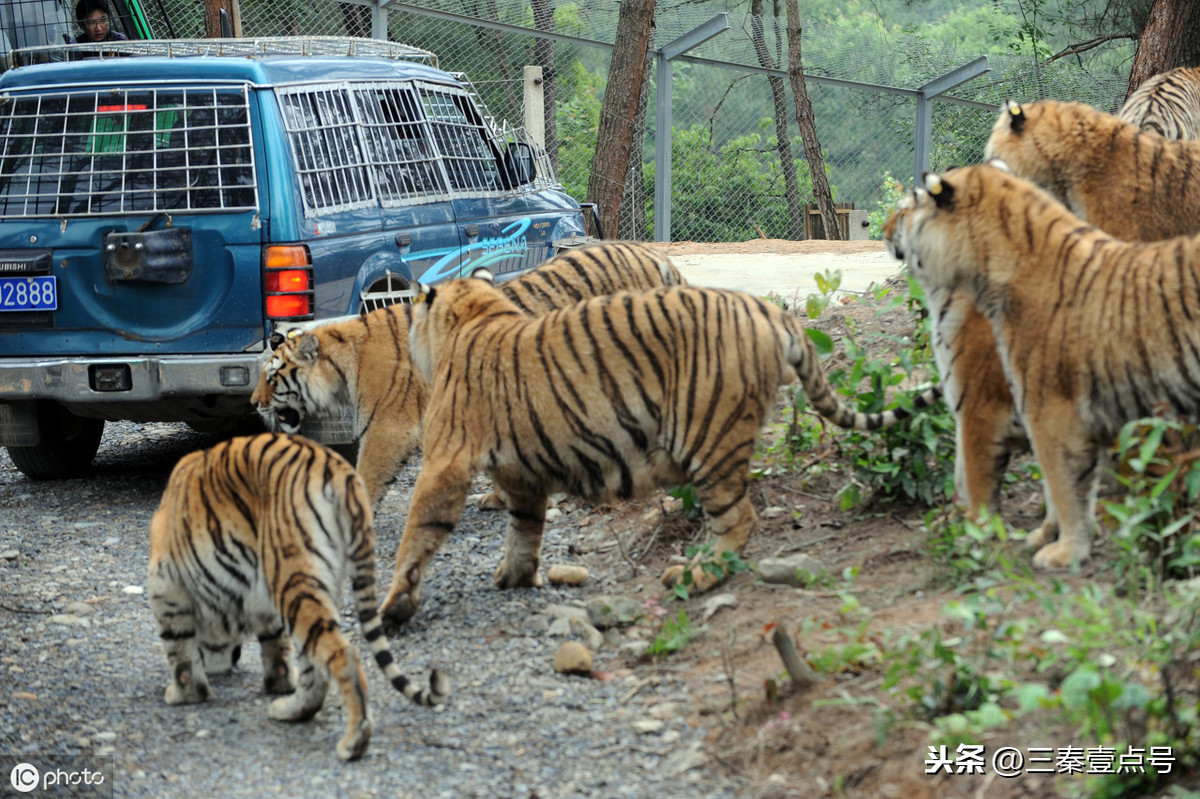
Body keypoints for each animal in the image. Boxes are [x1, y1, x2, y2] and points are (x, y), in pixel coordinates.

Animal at [148, 429, 451, 758]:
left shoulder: (166, 588)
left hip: (292, 575)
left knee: (342, 654)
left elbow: (180, 652)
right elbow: (277, 647)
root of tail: (340, 470)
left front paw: (182, 694)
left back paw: (354, 740)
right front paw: (278, 683)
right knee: (313, 663)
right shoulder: (263, 602)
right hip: (310, 584)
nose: (233, 658)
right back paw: (291, 710)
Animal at [250, 239, 686, 506]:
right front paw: (498, 498)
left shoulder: (389, 426)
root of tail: (656, 256)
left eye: (272, 378)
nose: (254, 404)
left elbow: (368, 473)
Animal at [379, 271, 940, 623]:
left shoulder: (445, 462)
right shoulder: (524, 477)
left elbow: (417, 534)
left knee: (739, 520)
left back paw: (695, 575)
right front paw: (514, 576)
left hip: (709, 437)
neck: (474, 315)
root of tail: (773, 313)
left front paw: (393, 606)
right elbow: (524, 531)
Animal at [888, 161, 1200, 568]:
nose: (881, 229)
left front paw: (990, 536)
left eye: (906, 210)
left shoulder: (1010, 410)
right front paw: (1040, 535)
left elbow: (1017, 481)